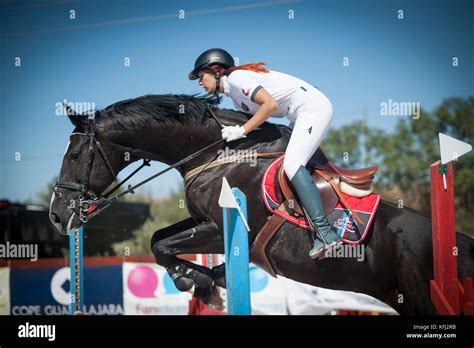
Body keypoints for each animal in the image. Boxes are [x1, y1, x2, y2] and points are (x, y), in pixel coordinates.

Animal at [50, 94, 472, 316]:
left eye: (75, 154)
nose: (57, 215)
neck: (219, 152)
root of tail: (460, 243)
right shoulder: (204, 222)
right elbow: (159, 240)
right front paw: (206, 281)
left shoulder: (224, 227)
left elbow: (163, 244)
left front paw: (197, 281)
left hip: (421, 297)